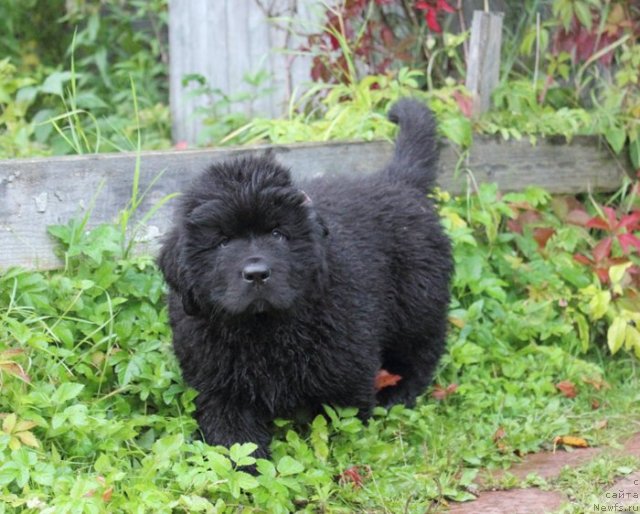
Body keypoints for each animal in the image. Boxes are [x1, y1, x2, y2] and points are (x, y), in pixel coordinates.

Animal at [158, 98, 452, 454]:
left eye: (278, 234)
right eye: (223, 241)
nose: (257, 274)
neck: (262, 329)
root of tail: (397, 181)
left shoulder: (345, 368)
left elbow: (341, 422)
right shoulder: (218, 386)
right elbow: (234, 438)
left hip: (418, 303)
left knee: (421, 352)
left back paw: (398, 394)